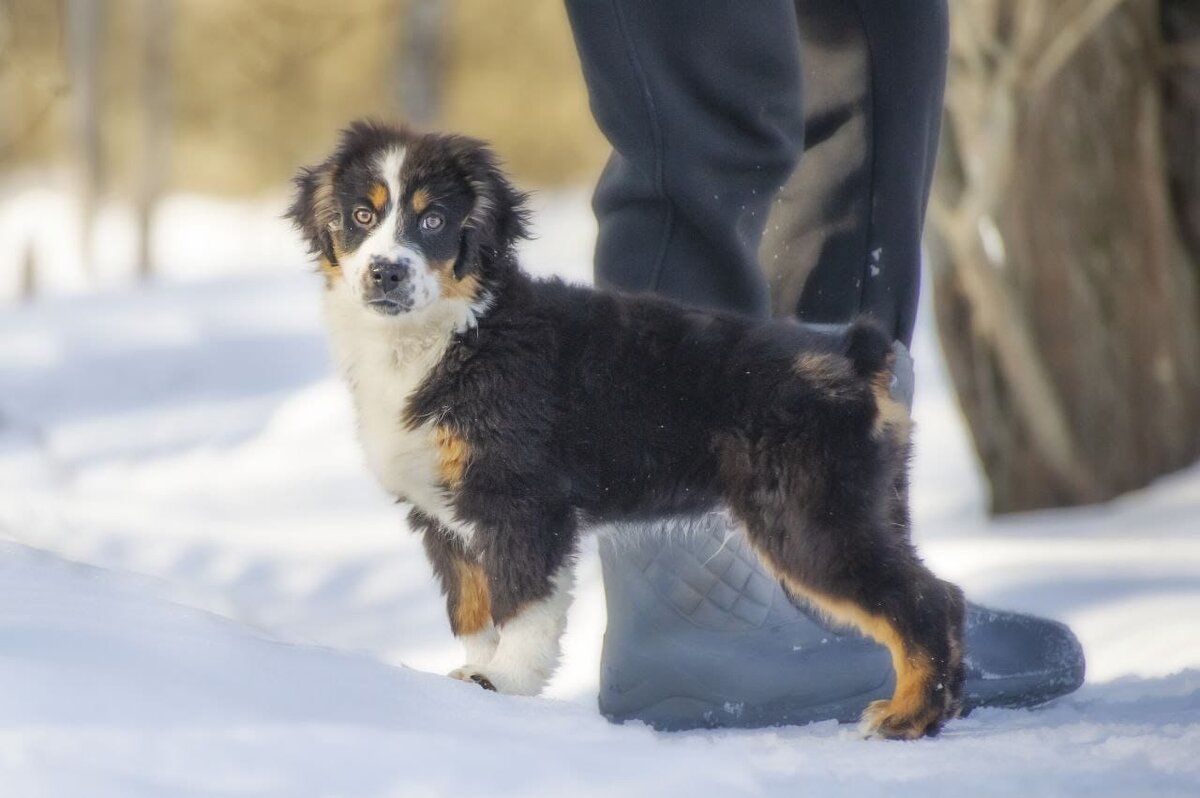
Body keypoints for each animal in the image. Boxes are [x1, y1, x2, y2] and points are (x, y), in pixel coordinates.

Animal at [288, 121, 964, 739]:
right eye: (360, 214)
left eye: (432, 222)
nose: (385, 273)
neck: (456, 337)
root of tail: (853, 353)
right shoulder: (443, 519)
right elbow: (472, 609)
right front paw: (475, 684)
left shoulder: (523, 502)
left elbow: (522, 605)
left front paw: (507, 683)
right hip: (864, 501)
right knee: (937, 592)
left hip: (808, 516)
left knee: (924, 599)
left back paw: (907, 717)